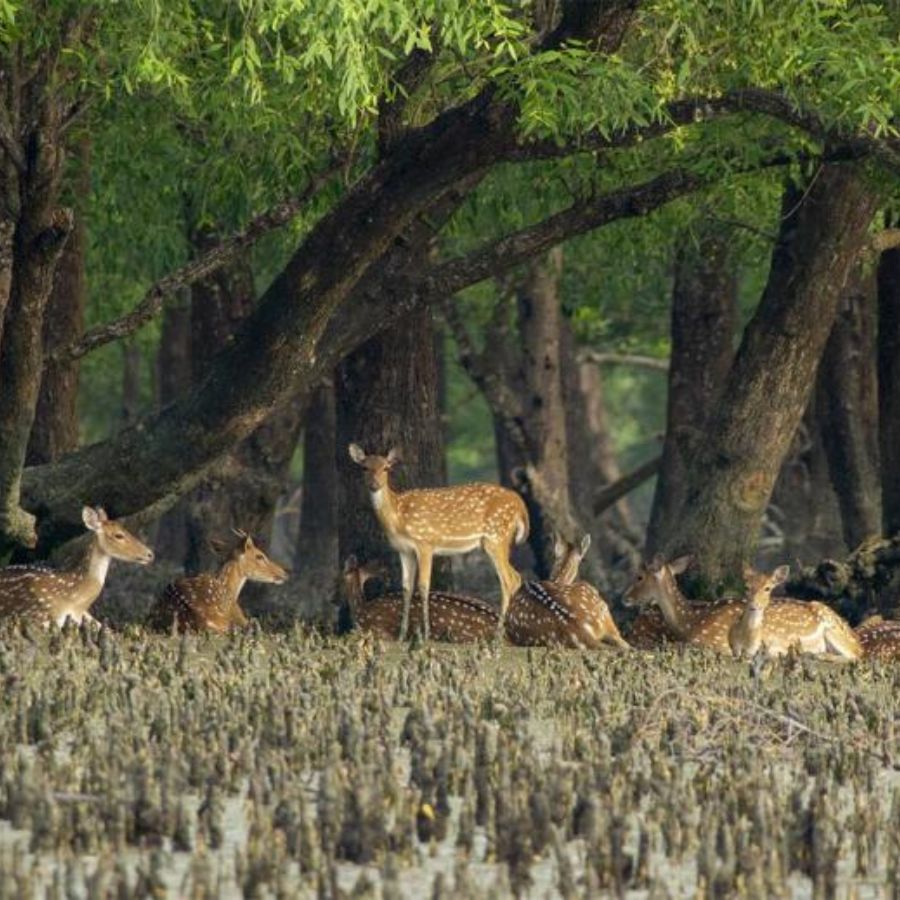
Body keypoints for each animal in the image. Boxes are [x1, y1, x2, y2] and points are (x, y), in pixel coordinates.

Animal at [624, 556, 860, 660]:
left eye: (639, 576)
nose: (624, 597)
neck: (689, 621)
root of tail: (854, 636)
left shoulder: (717, 643)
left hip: (834, 631)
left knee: (854, 656)